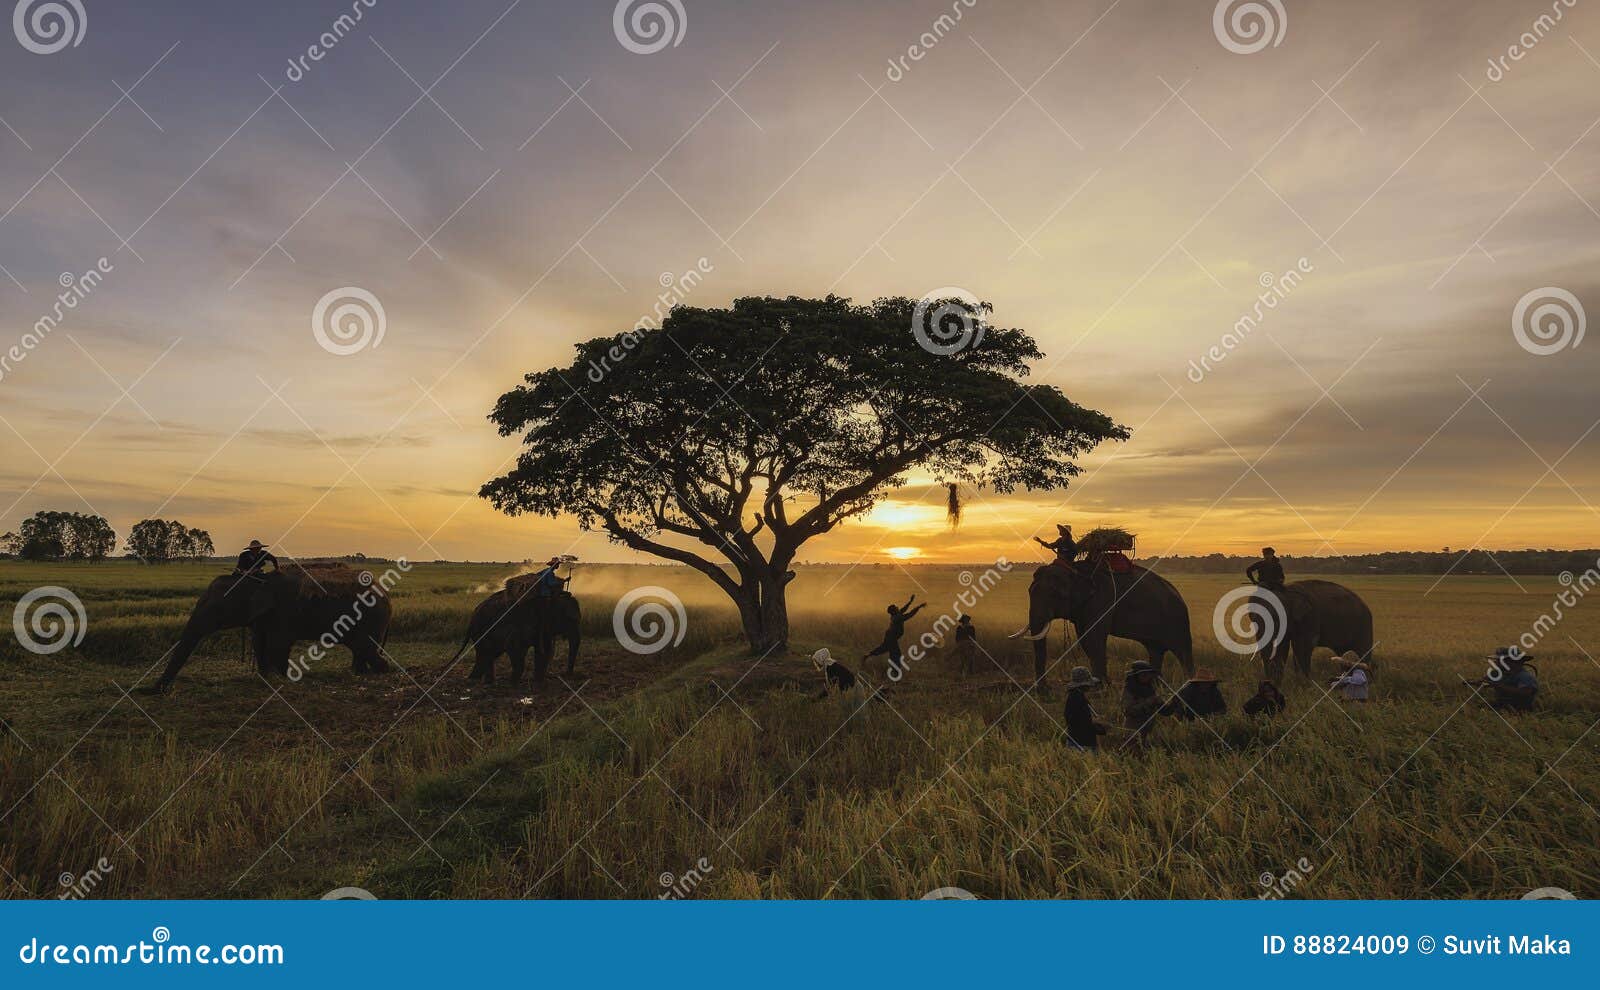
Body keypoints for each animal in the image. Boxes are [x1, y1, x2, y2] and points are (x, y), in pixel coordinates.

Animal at [152, 562, 390, 694]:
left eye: (216, 609)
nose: (156, 690)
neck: (256, 579)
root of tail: (386, 594)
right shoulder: (262, 616)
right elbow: (259, 642)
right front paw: (265, 676)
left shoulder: (284, 611)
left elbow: (278, 645)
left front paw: (282, 678)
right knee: (361, 649)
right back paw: (358, 673)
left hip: (371, 618)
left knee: (365, 646)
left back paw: (379, 671)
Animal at [451, 588, 582, 690]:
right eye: (570, 619)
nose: (567, 675)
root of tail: (472, 617)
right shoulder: (526, 622)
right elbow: (514, 647)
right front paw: (513, 684)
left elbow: (543, 651)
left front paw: (538, 683)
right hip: (481, 631)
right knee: (486, 653)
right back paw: (477, 681)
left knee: (489, 655)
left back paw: (480, 681)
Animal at [1011, 562, 1190, 684]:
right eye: (1029, 591)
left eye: (1056, 594)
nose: (1045, 693)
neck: (1074, 569)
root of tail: (1179, 594)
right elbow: (1085, 639)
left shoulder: (1101, 600)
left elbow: (1094, 637)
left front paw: (1100, 686)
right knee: (1155, 650)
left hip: (1177, 618)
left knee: (1182, 651)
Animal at [1248, 582, 1376, 681]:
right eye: (1251, 618)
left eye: (1275, 617)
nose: (1269, 680)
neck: (1287, 591)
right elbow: (1283, 646)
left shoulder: (1310, 617)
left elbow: (1302, 647)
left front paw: (1305, 682)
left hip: (1364, 626)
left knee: (1364, 653)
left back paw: (1369, 680)